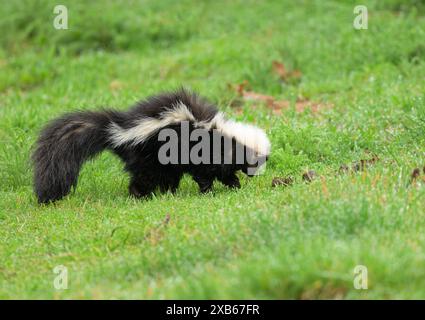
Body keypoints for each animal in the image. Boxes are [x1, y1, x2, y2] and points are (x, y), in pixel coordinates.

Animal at [31, 88, 270, 202]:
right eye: (254, 161)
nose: (254, 175)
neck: (221, 133)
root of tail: (117, 130)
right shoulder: (202, 150)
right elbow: (205, 174)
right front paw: (209, 191)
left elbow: (223, 171)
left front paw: (234, 184)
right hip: (149, 156)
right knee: (143, 178)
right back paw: (140, 196)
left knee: (168, 178)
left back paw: (167, 193)